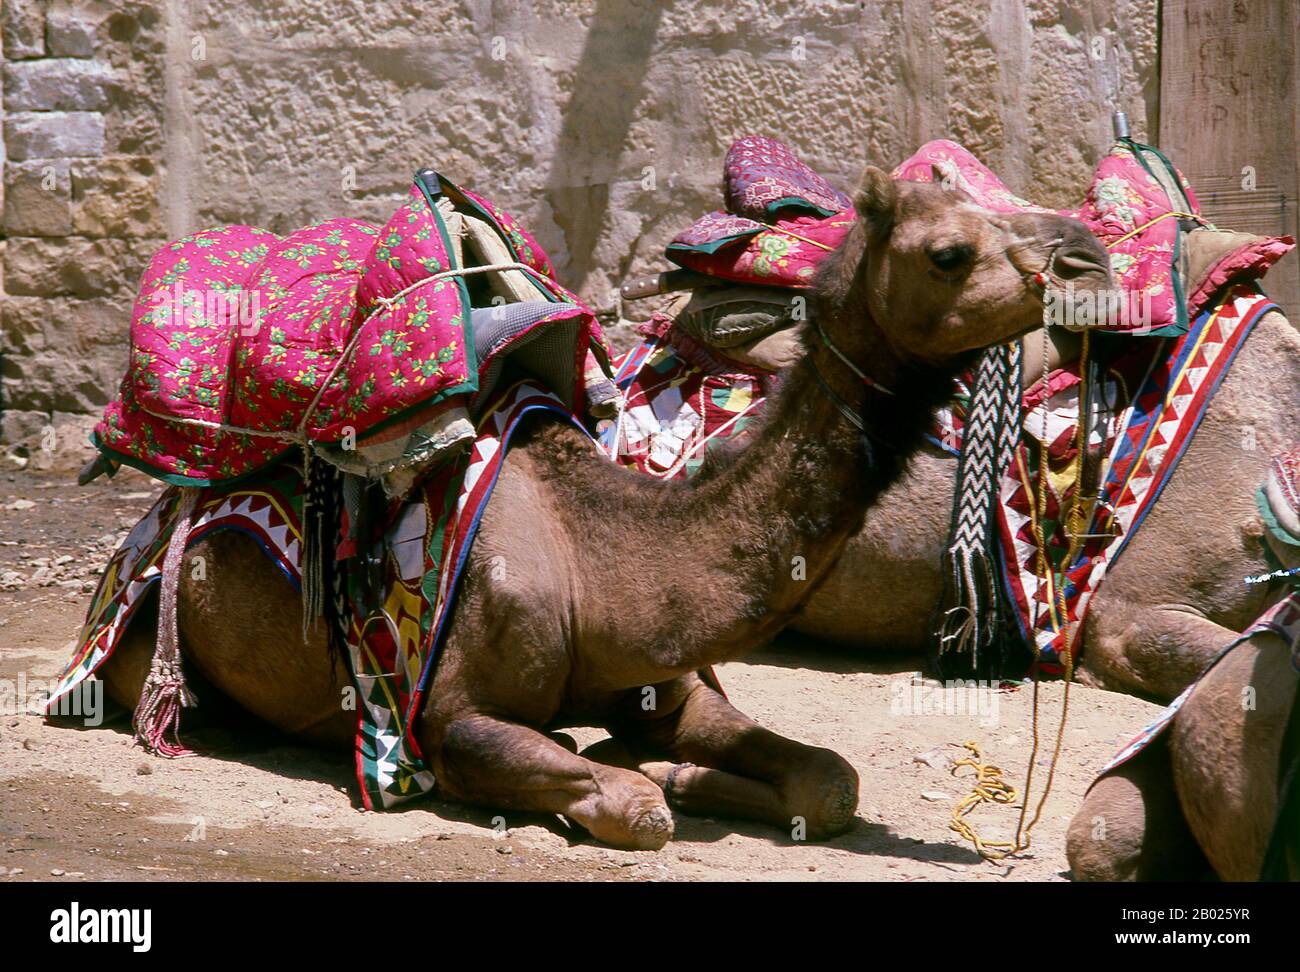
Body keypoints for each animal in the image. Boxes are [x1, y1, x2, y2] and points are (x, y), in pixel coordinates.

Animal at [91, 168, 1112, 852]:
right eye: (950, 252)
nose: (1089, 255)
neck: (596, 560)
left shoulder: (666, 677)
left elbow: (830, 780)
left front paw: (675, 765)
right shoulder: (446, 717)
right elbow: (631, 805)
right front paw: (636, 777)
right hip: (144, 644)